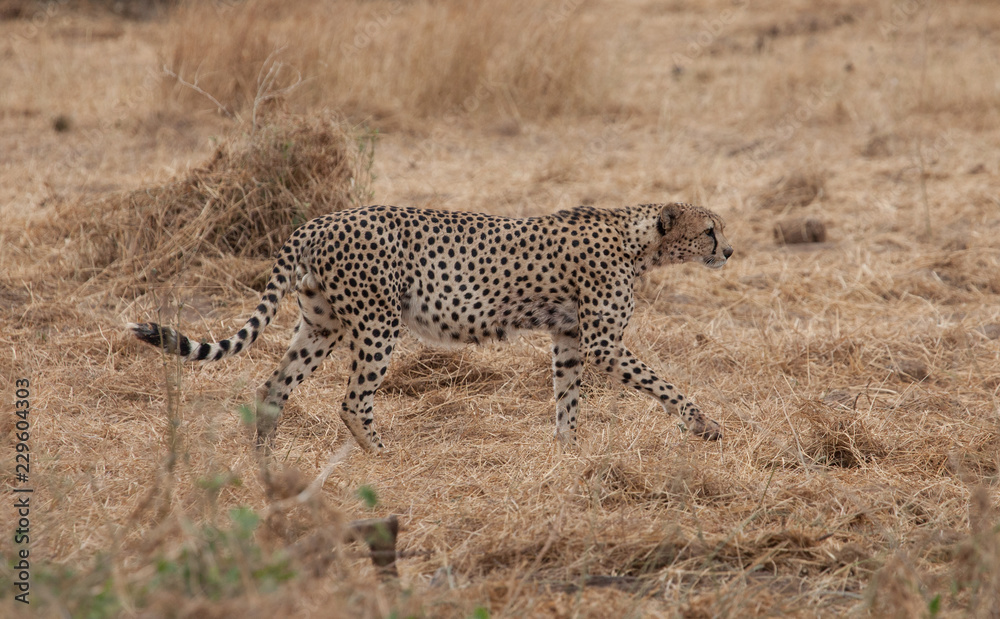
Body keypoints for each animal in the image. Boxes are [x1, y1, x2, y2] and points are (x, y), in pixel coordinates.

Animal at [128, 202, 734, 453]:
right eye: (710, 230)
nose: (729, 251)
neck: (639, 241)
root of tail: (317, 221)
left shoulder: (567, 337)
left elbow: (567, 396)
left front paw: (569, 449)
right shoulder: (603, 343)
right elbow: (662, 384)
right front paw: (703, 424)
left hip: (321, 325)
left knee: (273, 385)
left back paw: (266, 459)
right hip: (378, 322)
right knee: (353, 400)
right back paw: (381, 453)